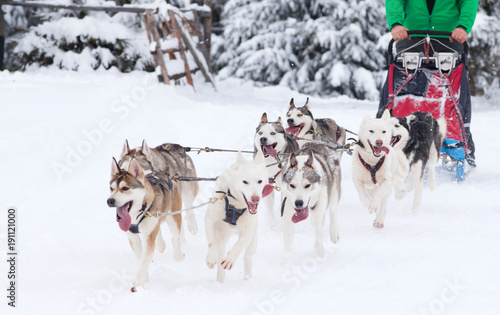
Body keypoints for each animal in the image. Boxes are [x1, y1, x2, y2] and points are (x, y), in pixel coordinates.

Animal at [107, 158, 184, 294]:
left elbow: (143, 261)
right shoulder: (133, 238)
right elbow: (141, 257)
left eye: (125, 188)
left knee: (175, 236)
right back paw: (161, 244)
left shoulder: (148, 238)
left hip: (174, 216)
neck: (139, 213)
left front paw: (137, 284)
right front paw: (145, 277)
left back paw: (178, 256)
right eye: (111, 188)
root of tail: (165, 174)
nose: (110, 201)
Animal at [205, 151, 270, 284]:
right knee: (220, 255)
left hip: (253, 243)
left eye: (260, 181)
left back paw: (248, 278)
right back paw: (219, 281)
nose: (256, 198)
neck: (235, 205)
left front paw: (230, 259)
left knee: (247, 256)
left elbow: (240, 244)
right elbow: (211, 242)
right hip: (221, 237)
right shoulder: (210, 218)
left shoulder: (248, 230)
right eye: (245, 182)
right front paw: (211, 257)